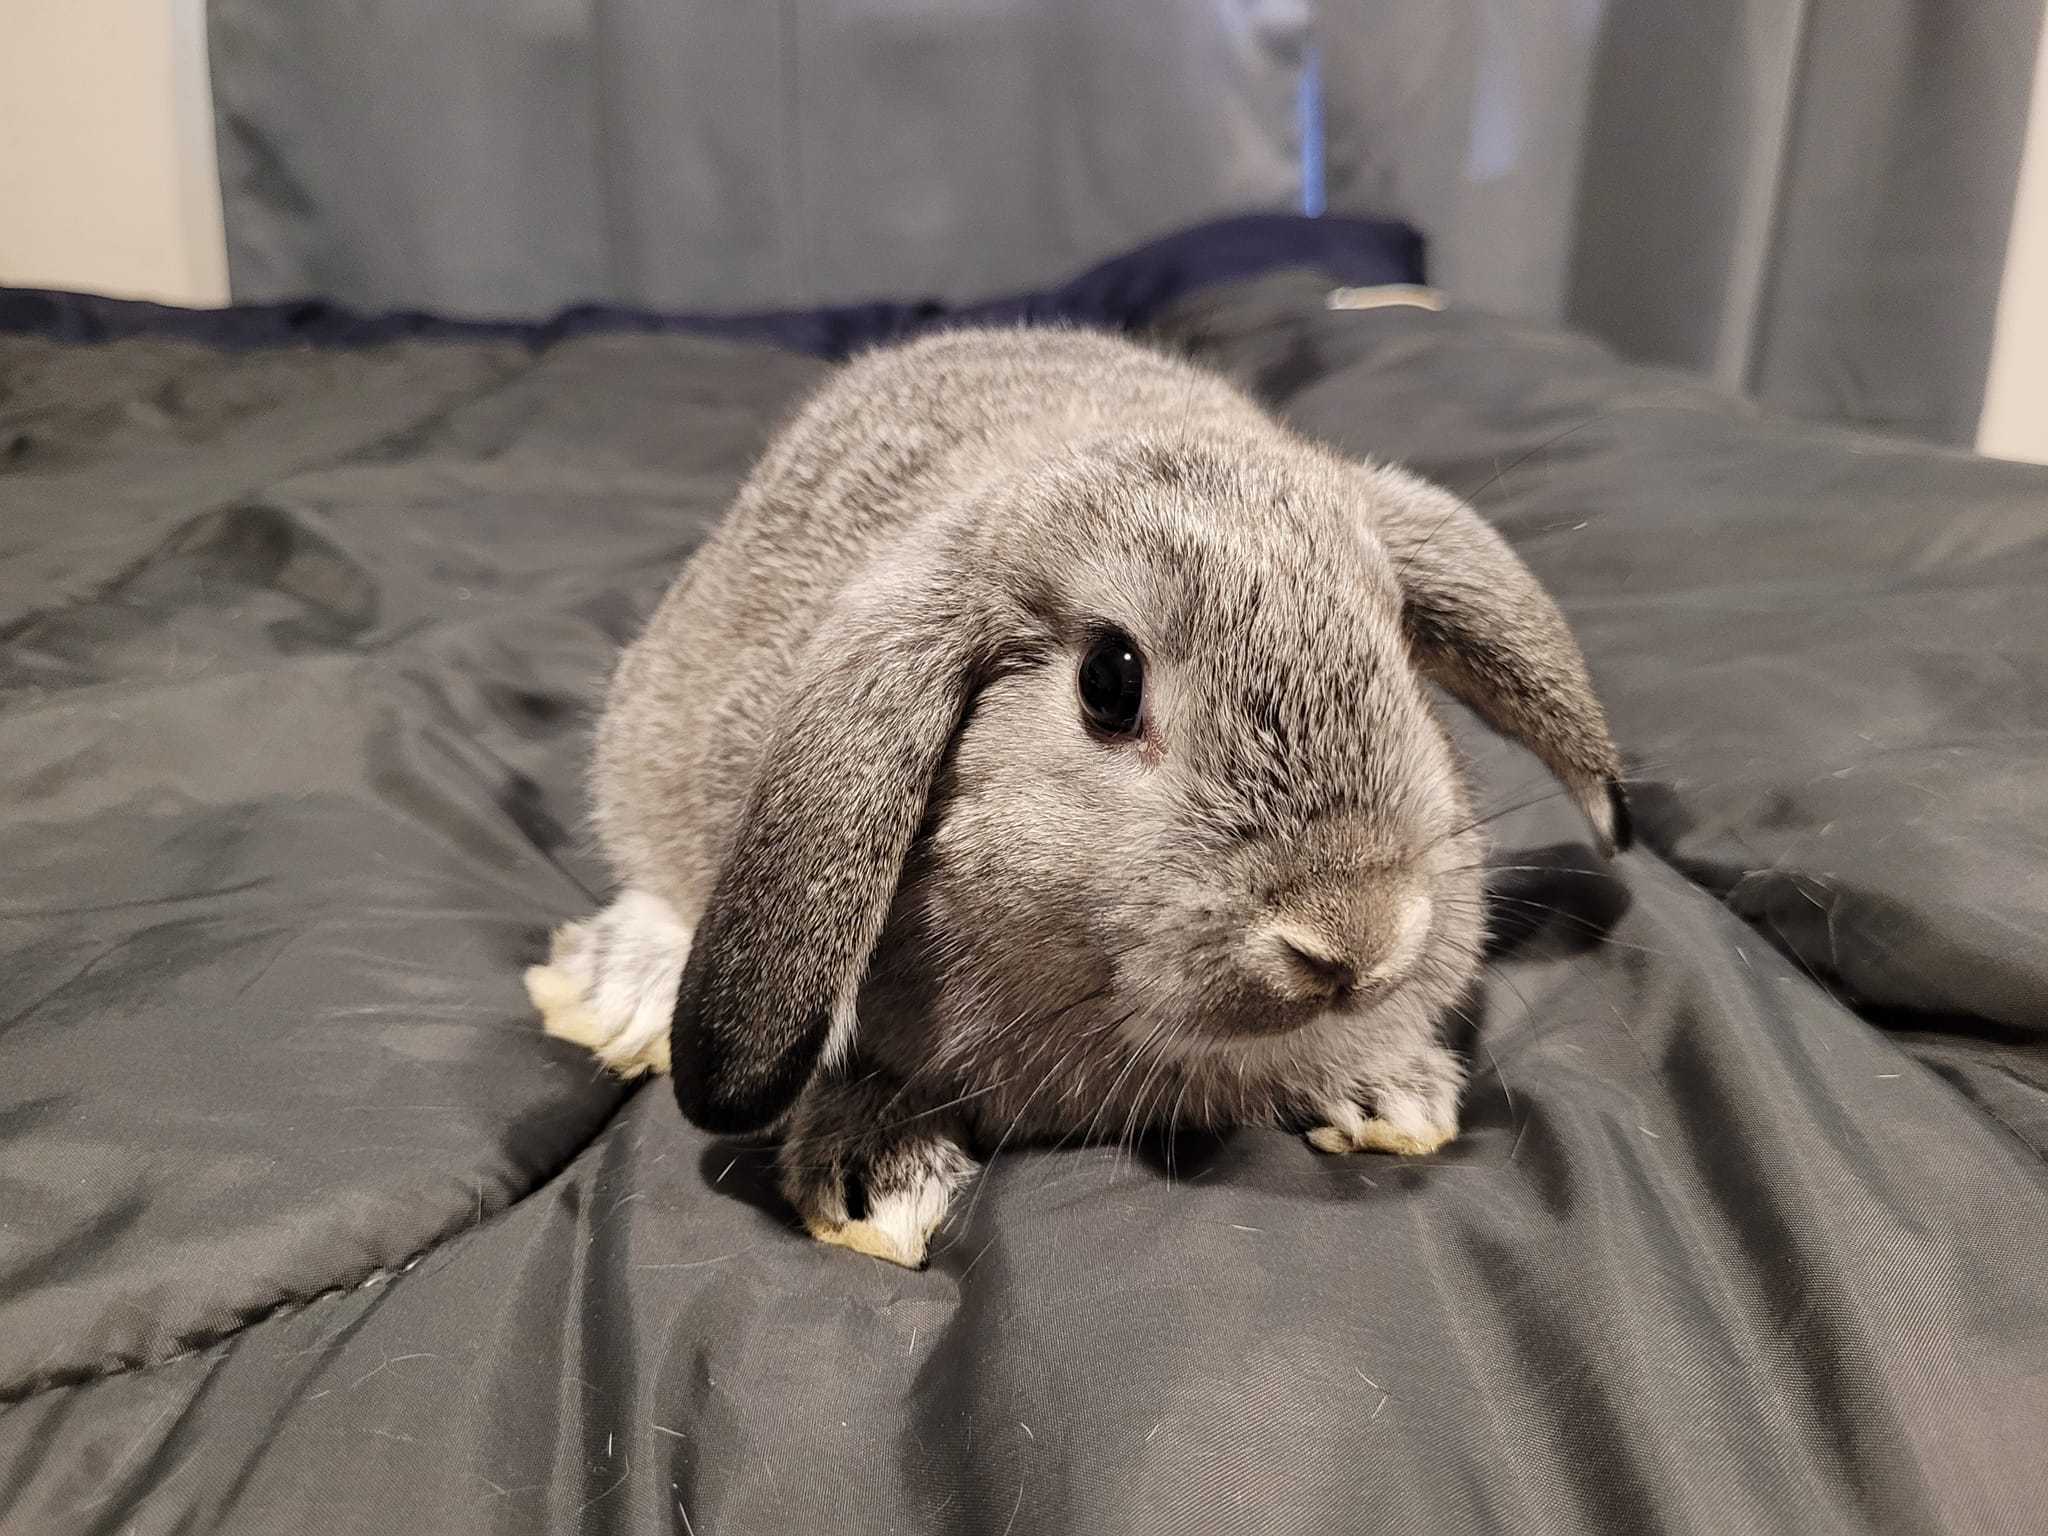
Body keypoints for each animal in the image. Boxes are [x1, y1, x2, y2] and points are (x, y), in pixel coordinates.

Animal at [526, 325, 1629, 1268]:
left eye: (1399, 647)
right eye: (1108, 682)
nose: (1354, 937)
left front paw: (1389, 1090)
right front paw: (871, 1181)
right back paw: (618, 992)